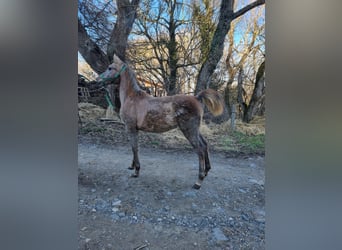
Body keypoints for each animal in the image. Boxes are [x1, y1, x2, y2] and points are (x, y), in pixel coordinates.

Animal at [96, 53, 224, 188]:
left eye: (110, 68)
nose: (97, 81)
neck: (132, 98)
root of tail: (197, 98)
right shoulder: (134, 129)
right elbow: (134, 147)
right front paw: (132, 166)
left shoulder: (131, 128)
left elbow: (134, 148)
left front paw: (136, 171)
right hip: (195, 130)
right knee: (204, 145)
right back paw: (206, 171)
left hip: (189, 130)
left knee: (199, 150)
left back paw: (198, 181)